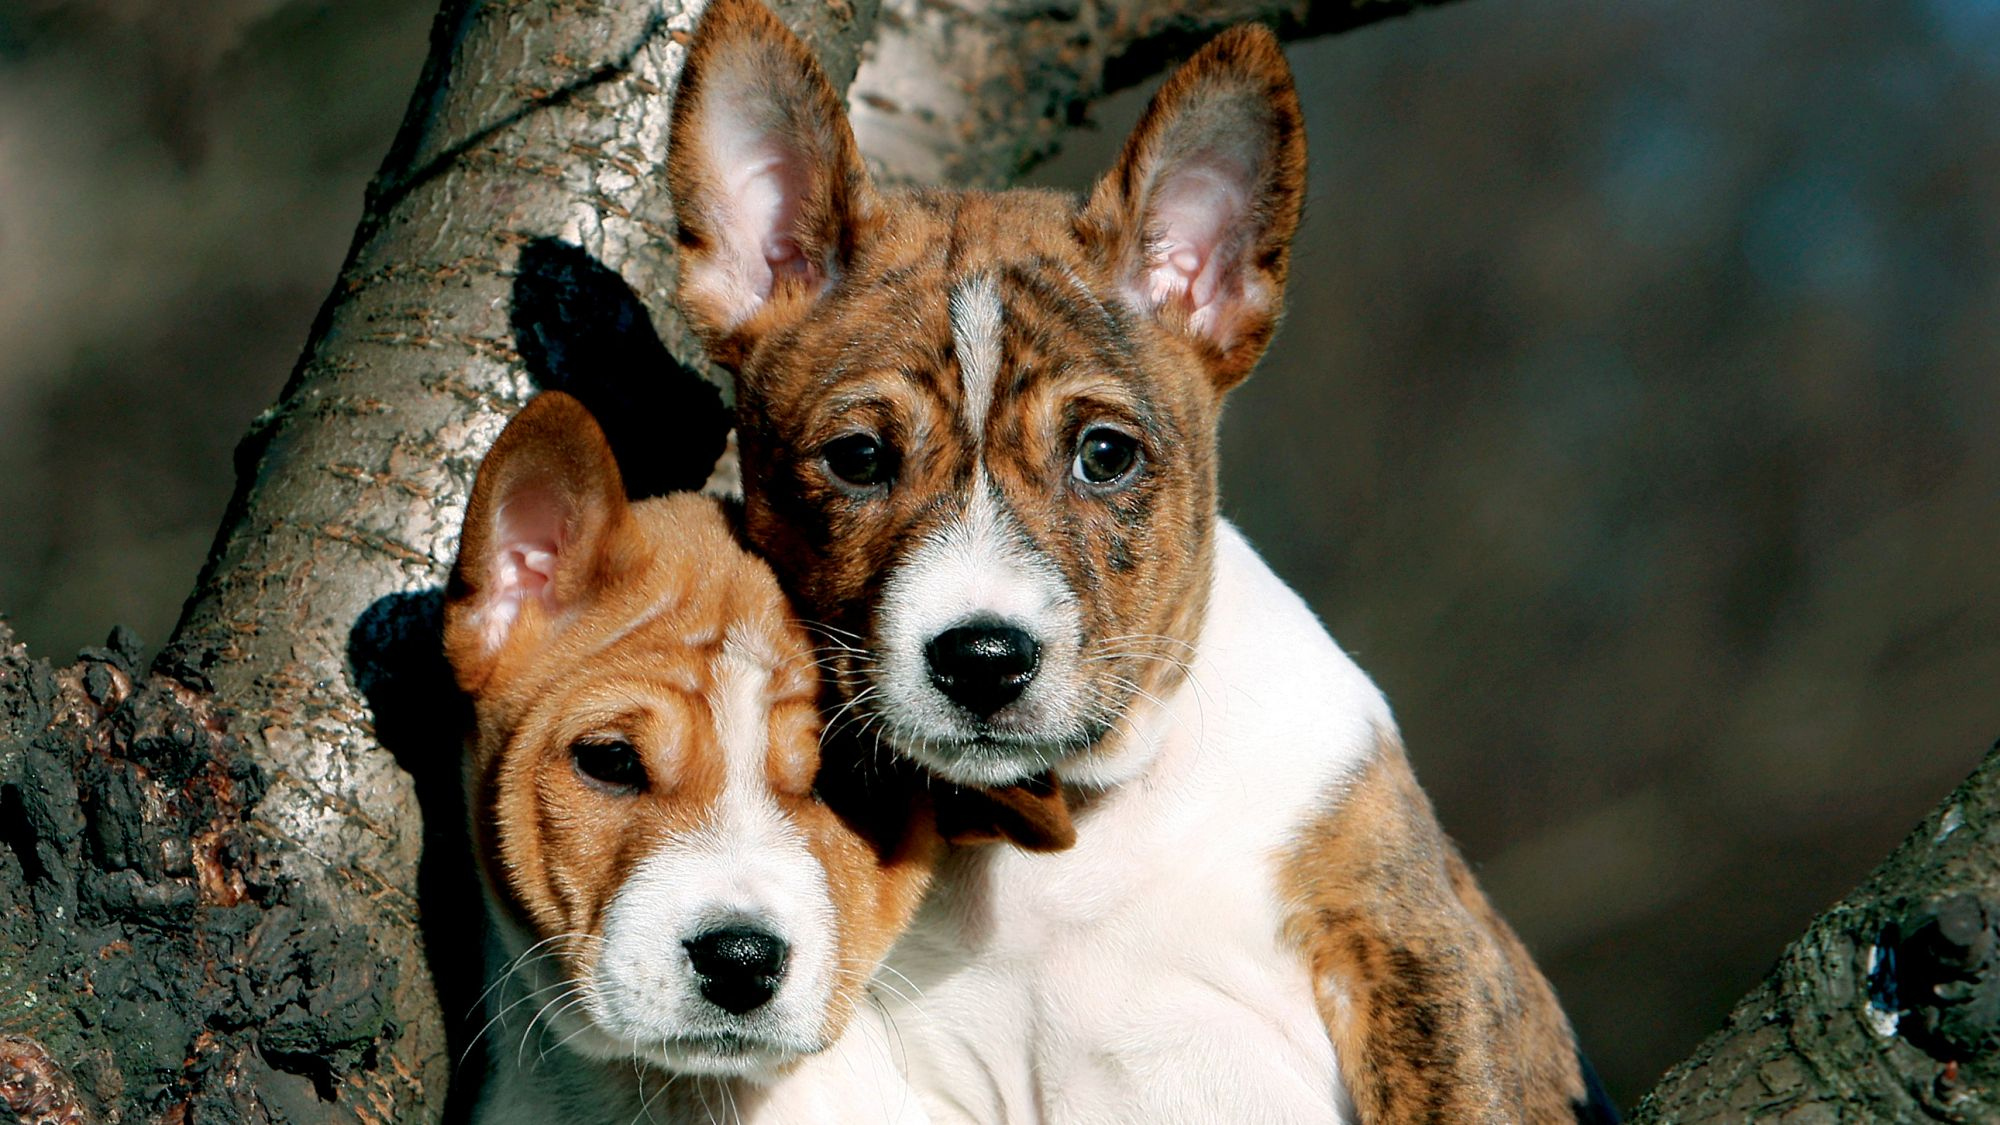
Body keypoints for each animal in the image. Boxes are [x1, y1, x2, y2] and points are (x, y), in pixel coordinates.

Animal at [672, 4, 1624, 1112]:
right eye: (859, 458)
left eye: (1104, 454)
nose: (982, 660)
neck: (1062, 843)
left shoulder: (1414, 942)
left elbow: (1458, 1086)